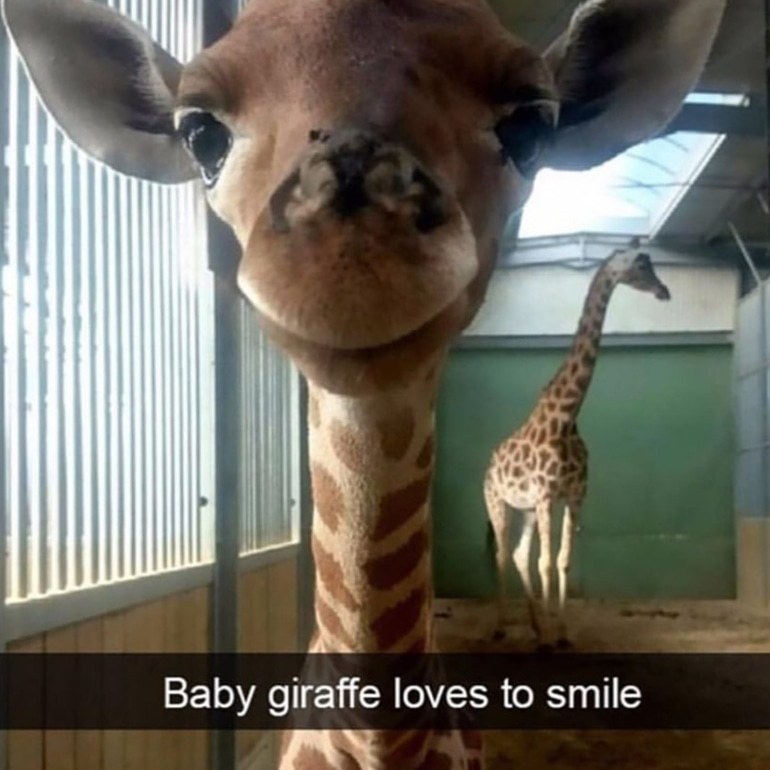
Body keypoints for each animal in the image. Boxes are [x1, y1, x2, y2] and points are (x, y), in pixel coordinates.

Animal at [484, 247, 671, 650]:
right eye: (641, 264)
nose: (664, 291)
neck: (566, 418)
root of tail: (489, 462)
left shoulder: (574, 495)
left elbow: (561, 560)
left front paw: (561, 633)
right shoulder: (545, 496)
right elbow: (545, 562)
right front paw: (549, 637)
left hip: (525, 509)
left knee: (520, 554)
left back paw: (535, 625)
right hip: (497, 501)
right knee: (503, 553)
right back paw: (502, 627)